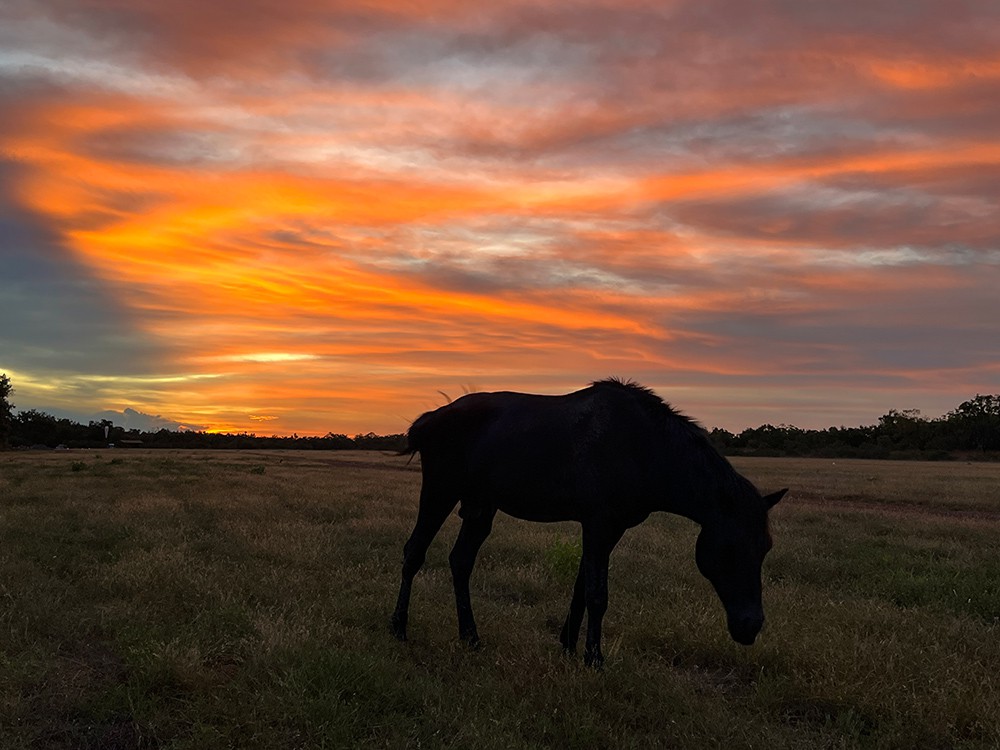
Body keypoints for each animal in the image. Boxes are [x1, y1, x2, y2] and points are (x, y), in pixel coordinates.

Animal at [386, 382, 784, 668]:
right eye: (730, 548)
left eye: (766, 547)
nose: (751, 625)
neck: (645, 446)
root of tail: (431, 419)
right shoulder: (598, 525)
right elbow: (597, 593)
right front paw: (594, 658)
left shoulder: (608, 530)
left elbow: (581, 587)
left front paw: (568, 645)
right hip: (439, 492)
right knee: (414, 553)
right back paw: (398, 628)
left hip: (480, 508)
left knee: (460, 562)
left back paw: (470, 636)